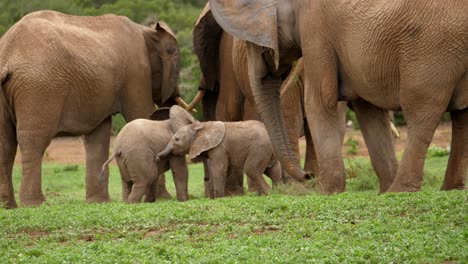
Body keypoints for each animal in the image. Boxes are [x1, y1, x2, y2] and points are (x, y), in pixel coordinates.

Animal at [0, 10, 192, 208]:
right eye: (177, 65)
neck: (146, 30)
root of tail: (7, 54)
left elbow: (98, 134)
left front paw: (98, 203)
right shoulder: (137, 73)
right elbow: (140, 114)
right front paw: (164, 198)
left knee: (5, 143)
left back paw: (8, 206)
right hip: (38, 87)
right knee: (33, 140)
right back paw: (35, 204)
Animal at [209, 0, 468, 194]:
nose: (308, 176)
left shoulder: (315, 30)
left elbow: (319, 102)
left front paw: (328, 192)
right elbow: (368, 112)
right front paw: (382, 192)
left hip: (431, 49)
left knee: (421, 112)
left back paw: (402, 190)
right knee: (462, 117)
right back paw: (448, 189)